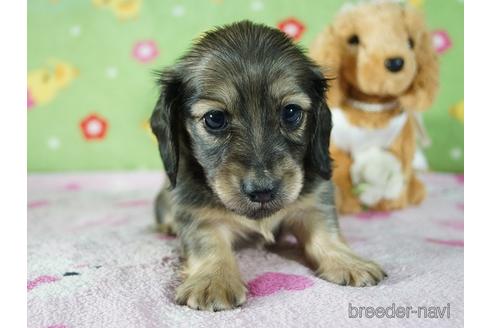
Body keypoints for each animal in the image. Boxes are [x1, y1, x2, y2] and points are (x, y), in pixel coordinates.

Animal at [150, 20, 384, 310]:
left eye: (291, 113)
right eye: (214, 119)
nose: (262, 191)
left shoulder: (315, 201)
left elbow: (326, 232)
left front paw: (348, 261)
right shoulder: (197, 214)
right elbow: (209, 245)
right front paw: (213, 281)